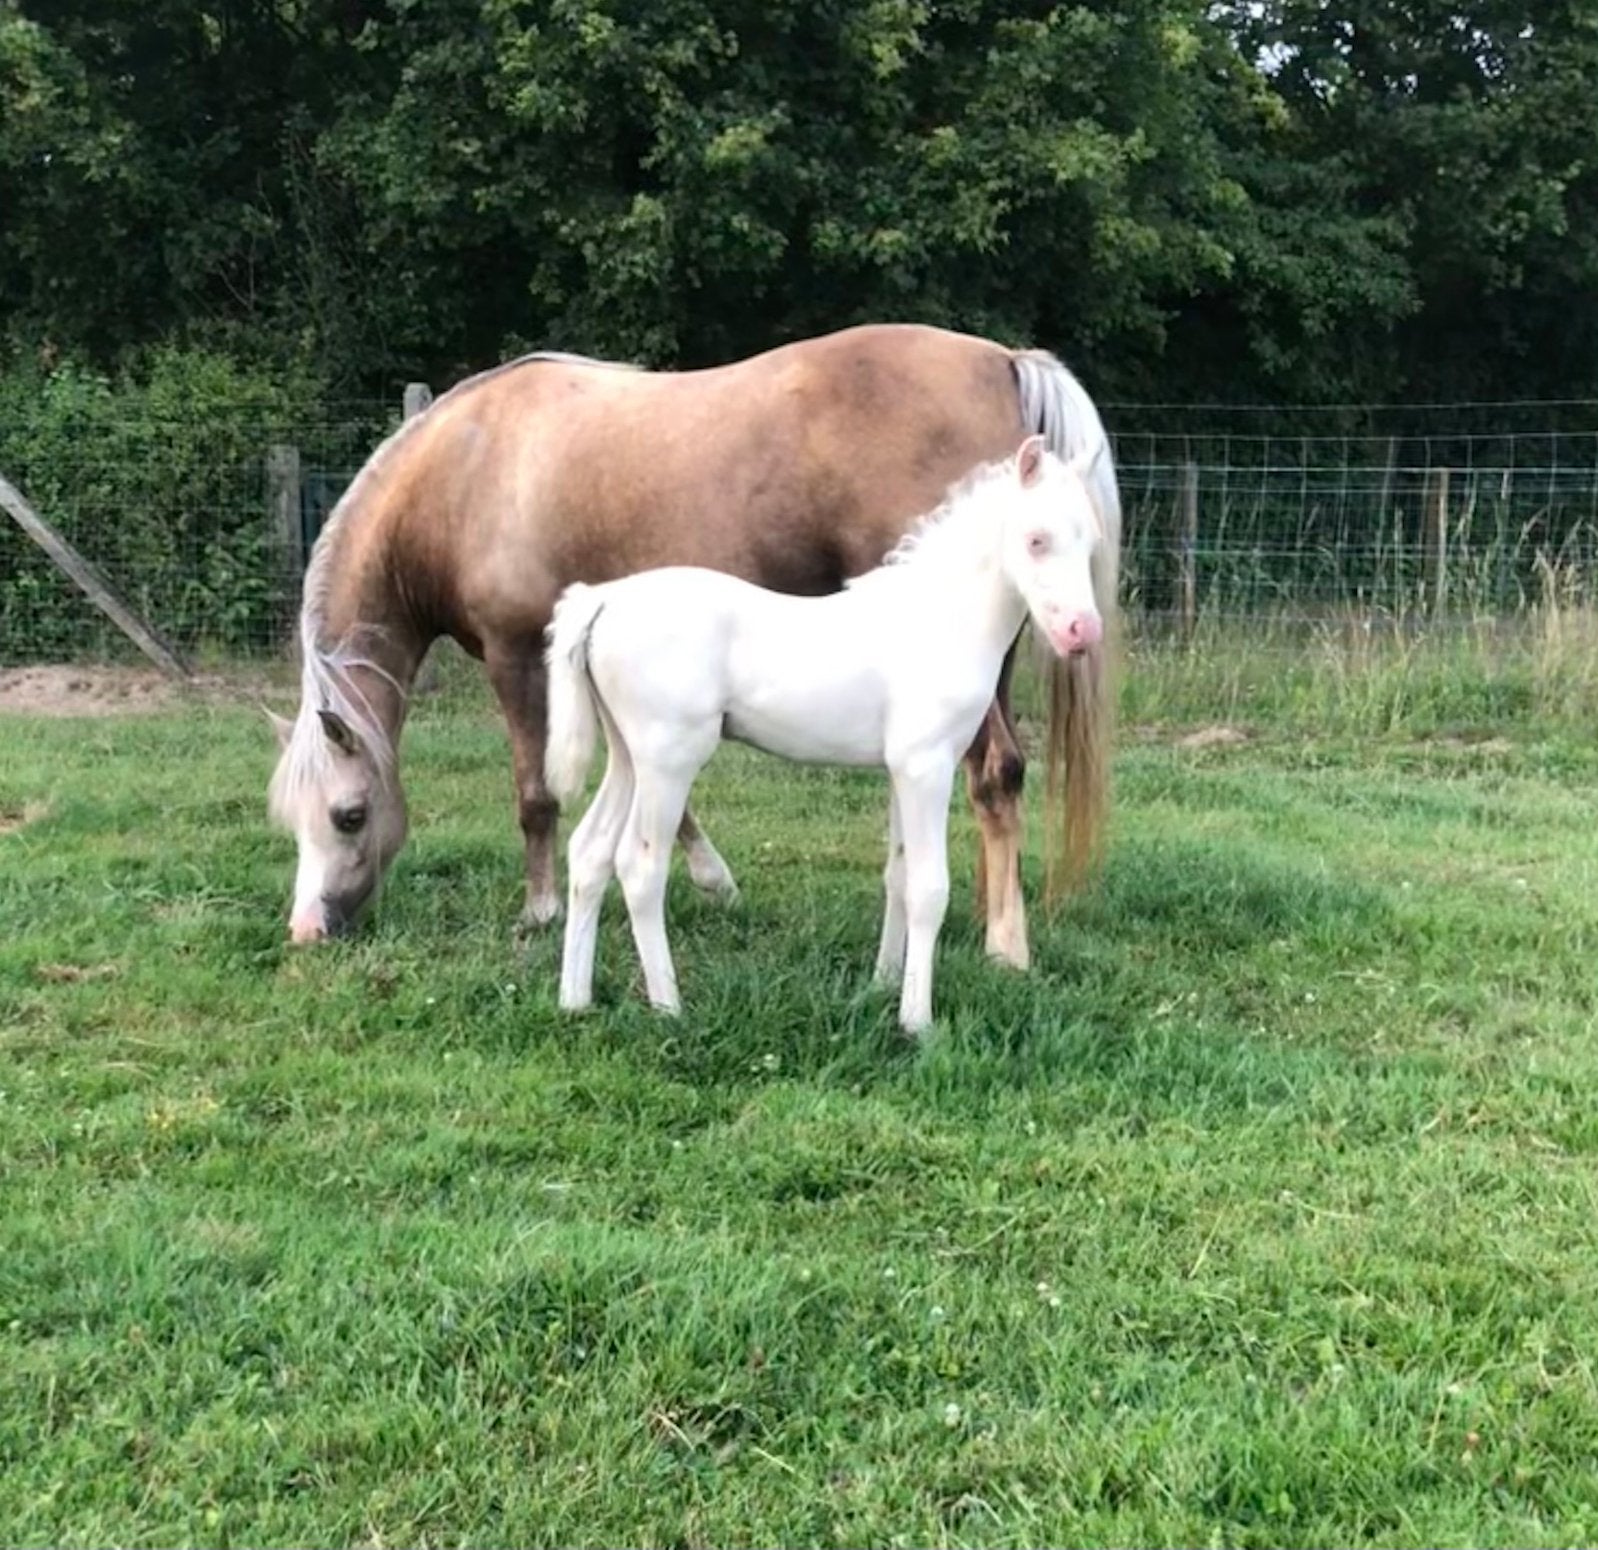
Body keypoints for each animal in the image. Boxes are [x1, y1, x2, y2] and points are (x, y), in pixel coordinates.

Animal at [266, 323, 1121, 968]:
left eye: (349, 815)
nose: (307, 930)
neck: (468, 469)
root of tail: (1003, 360)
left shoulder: (517, 658)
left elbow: (535, 794)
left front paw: (540, 911)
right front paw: (714, 879)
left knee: (996, 774)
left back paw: (1005, 944)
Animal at [545, 436, 1104, 1032]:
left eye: (1092, 541)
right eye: (1036, 539)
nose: (1082, 632)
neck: (939, 621)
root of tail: (601, 600)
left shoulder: (899, 769)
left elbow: (897, 876)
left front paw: (883, 986)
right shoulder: (926, 767)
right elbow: (929, 887)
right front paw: (917, 1022)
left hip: (628, 756)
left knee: (589, 851)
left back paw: (575, 1000)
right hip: (668, 760)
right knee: (639, 866)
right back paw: (669, 1007)